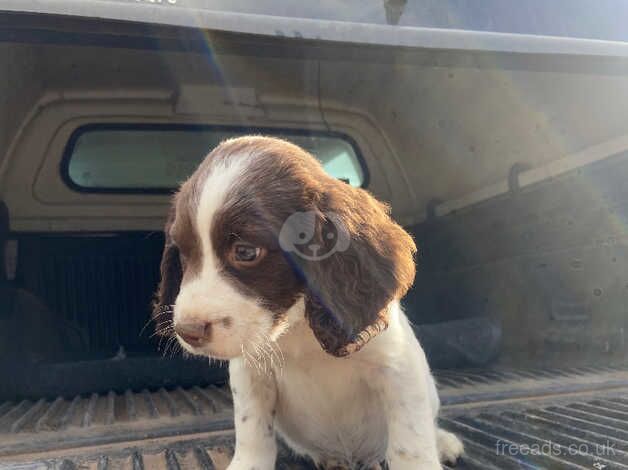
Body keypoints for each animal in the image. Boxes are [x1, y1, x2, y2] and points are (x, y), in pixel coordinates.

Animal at [155, 136, 464, 470]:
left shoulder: (397, 367)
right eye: (183, 253)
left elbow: (411, 440)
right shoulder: (251, 374)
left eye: (246, 252)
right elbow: (253, 430)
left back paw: (444, 442)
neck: (300, 327)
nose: (188, 332)